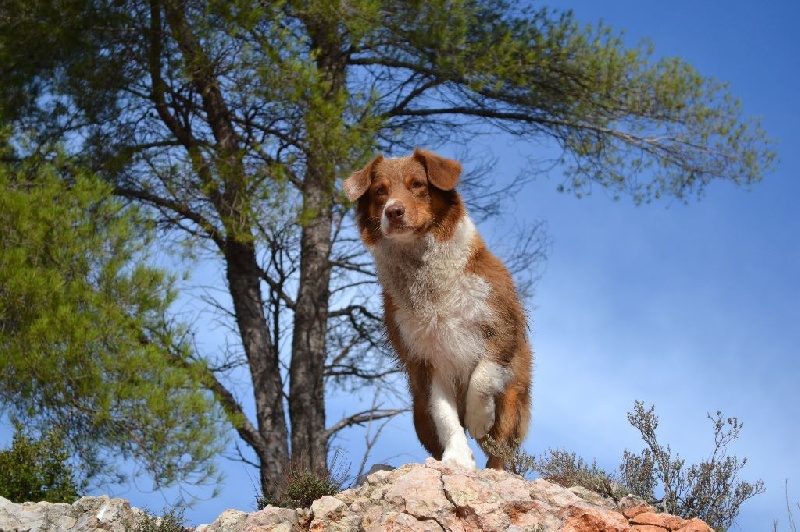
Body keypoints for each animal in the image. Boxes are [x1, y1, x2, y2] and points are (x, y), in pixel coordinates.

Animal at [344, 148, 532, 468]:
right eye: (380, 191)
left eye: (418, 184)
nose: (393, 211)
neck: (426, 273)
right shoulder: (425, 358)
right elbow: (445, 415)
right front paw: (457, 457)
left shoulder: (501, 326)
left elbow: (482, 377)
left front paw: (479, 418)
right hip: (418, 411)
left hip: (513, 395)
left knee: (499, 451)